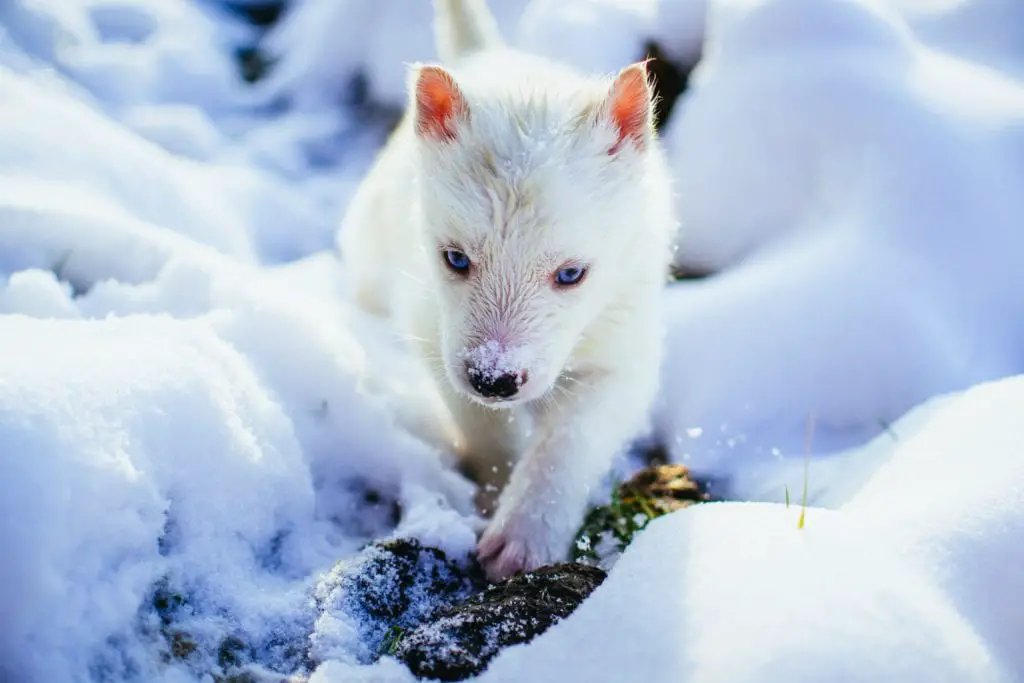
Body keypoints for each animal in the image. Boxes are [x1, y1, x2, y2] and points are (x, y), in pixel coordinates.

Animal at [339, 0, 679, 581]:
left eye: (571, 274)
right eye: (455, 259)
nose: (493, 379)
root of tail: (488, 54)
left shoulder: (623, 351)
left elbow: (569, 442)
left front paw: (524, 538)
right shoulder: (434, 331)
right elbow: (484, 427)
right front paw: (494, 494)